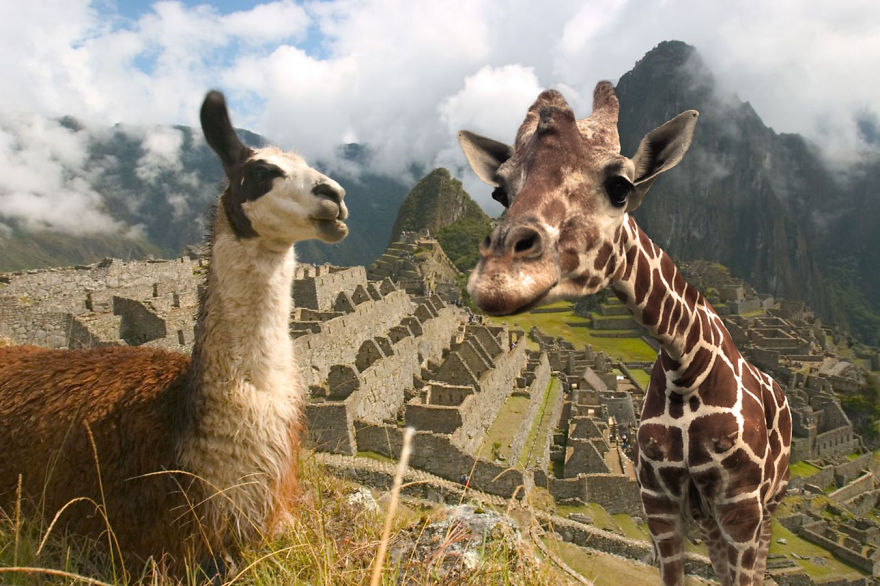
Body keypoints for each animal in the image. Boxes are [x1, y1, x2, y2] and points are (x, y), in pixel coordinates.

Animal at [458, 82, 791, 585]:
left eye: (620, 187)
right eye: (500, 192)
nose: (497, 277)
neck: (685, 367)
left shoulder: (742, 507)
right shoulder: (657, 500)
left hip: (766, 508)